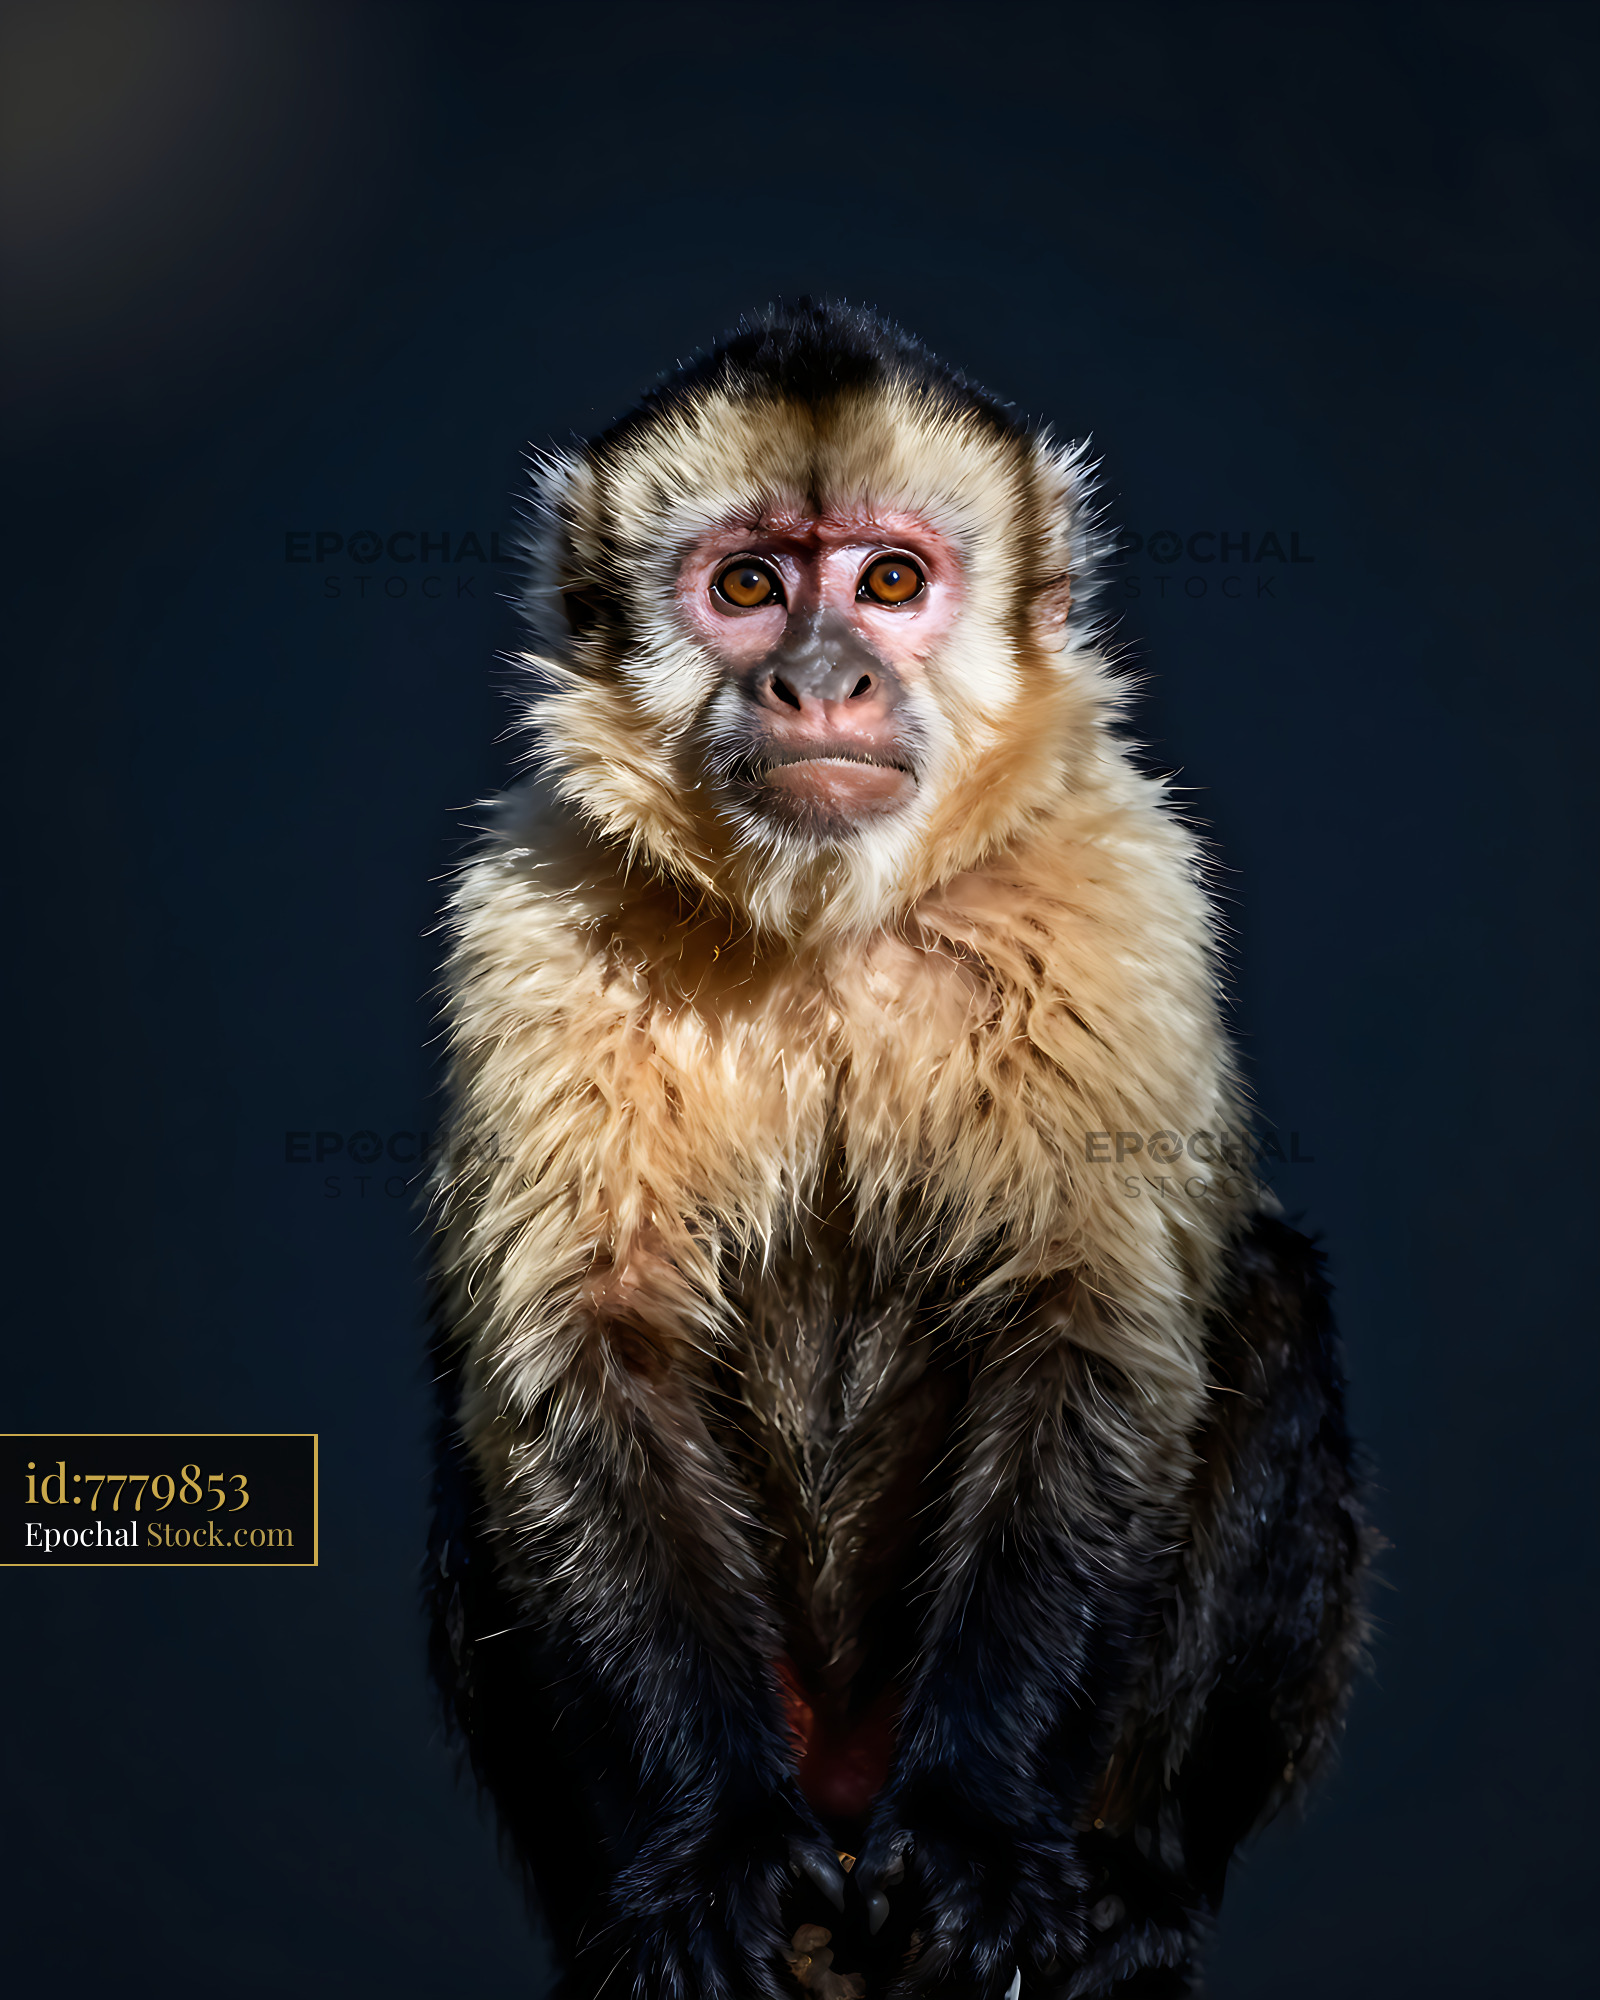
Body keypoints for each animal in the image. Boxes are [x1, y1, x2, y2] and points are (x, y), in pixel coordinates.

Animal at [426, 300, 1370, 2000]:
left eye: (886, 582)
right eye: (747, 587)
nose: (821, 679)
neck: (830, 921)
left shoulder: (1117, 875)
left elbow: (1088, 1343)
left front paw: (979, 1840)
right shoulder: (534, 900)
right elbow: (582, 1358)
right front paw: (718, 1853)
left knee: (1269, 1304)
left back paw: (1138, 1880)